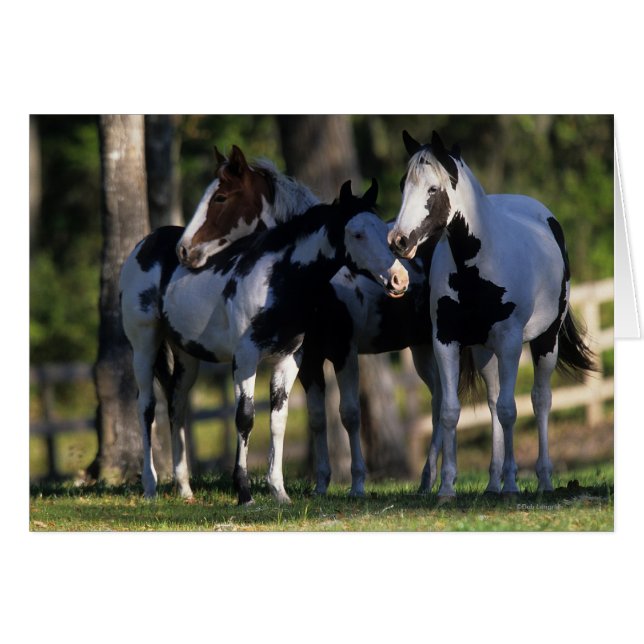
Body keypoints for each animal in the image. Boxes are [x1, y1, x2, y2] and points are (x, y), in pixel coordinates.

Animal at [120, 177, 409, 504]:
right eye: (357, 234)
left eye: (384, 231)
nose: (400, 279)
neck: (278, 279)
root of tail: (145, 244)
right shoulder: (245, 358)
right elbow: (245, 418)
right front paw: (244, 492)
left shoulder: (289, 360)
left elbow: (278, 420)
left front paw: (278, 491)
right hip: (144, 344)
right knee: (146, 407)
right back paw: (150, 487)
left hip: (186, 355)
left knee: (176, 405)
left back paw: (184, 488)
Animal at [389, 130, 595, 498]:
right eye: (403, 184)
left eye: (432, 189)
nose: (398, 241)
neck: (477, 265)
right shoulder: (446, 341)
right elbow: (451, 411)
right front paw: (446, 488)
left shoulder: (511, 343)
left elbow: (510, 410)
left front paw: (513, 483)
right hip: (485, 352)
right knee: (491, 401)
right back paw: (492, 483)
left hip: (545, 341)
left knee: (540, 400)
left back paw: (542, 479)